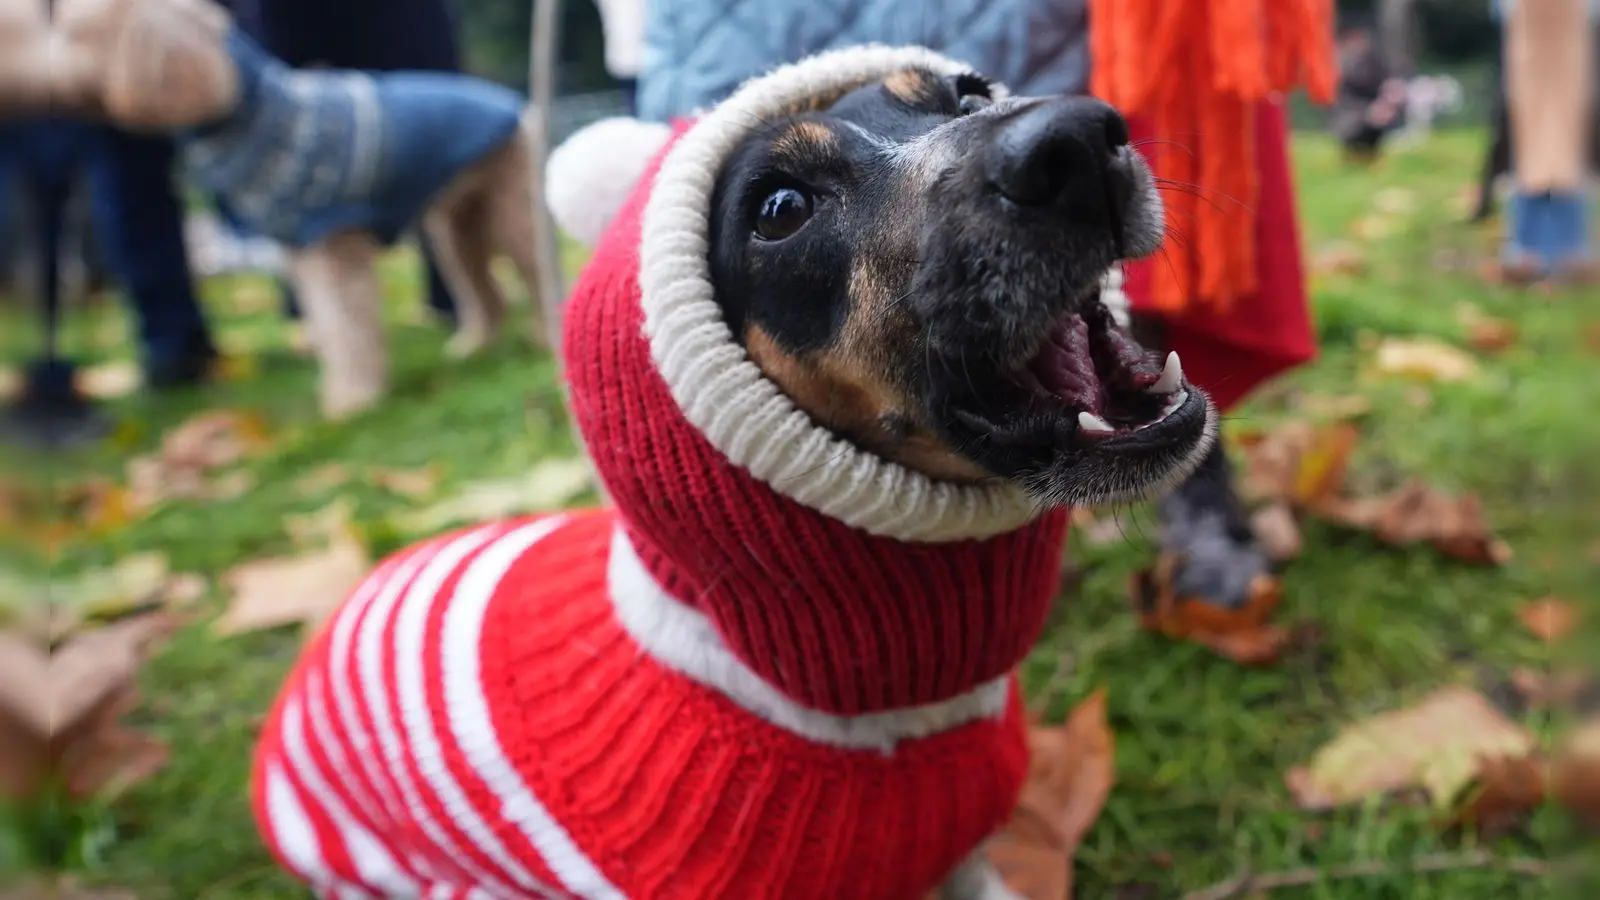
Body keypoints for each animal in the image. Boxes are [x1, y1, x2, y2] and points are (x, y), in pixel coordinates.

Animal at [50, 0, 560, 416]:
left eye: (80, 35)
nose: (52, 79)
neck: (251, 109)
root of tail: (518, 105)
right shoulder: (300, 250)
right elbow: (329, 327)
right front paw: (340, 390)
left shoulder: (329, 242)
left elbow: (346, 323)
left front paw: (353, 401)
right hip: (455, 224)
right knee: (480, 285)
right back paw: (475, 343)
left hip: (511, 205)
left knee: (534, 269)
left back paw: (542, 334)